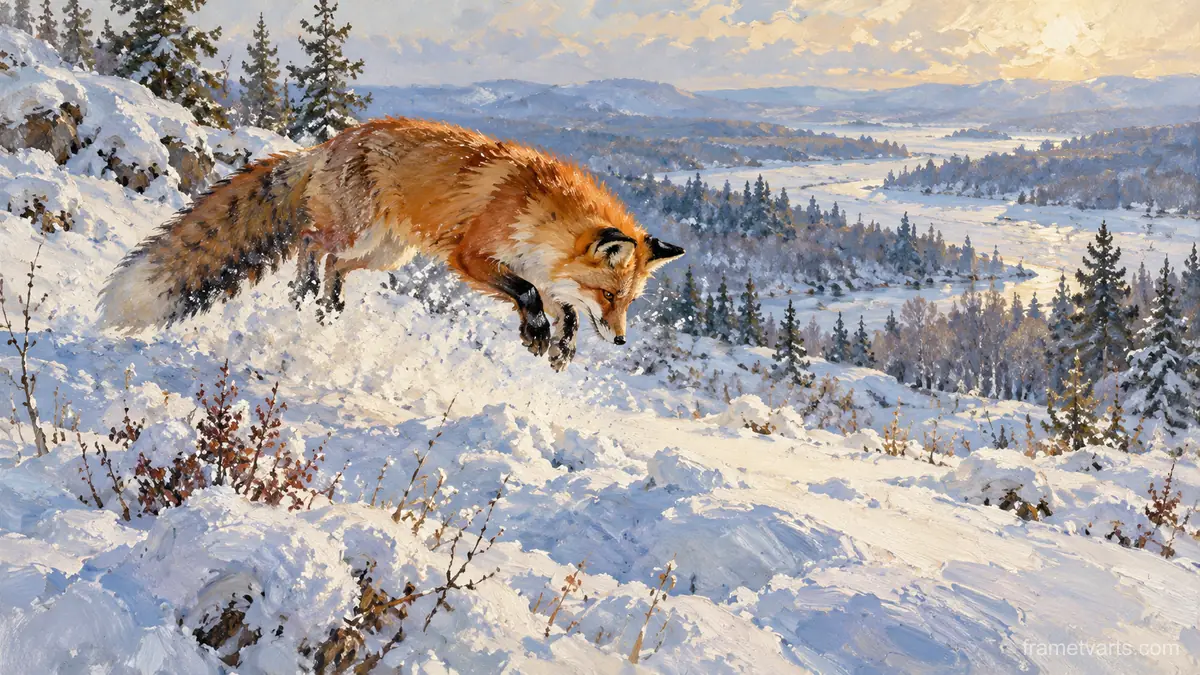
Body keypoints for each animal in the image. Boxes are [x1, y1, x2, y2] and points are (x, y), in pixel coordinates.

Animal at [99, 117, 684, 370]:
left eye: (627, 302)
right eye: (610, 296)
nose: (622, 341)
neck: (539, 215)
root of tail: (327, 143)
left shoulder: (542, 269)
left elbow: (563, 310)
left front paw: (558, 347)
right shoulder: (471, 256)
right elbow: (530, 295)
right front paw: (539, 334)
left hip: (385, 253)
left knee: (335, 265)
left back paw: (327, 305)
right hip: (358, 232)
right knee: (311, 241)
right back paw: (304, 289)